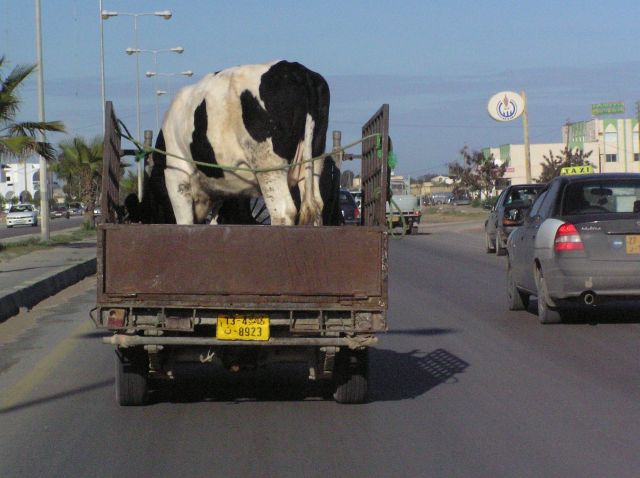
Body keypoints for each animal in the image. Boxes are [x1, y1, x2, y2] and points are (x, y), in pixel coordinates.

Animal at [145, 60, 336, 227]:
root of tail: (296, 69)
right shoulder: (223, 191)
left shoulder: (177, 177)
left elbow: (185, 221)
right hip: (313, 161)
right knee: (316, 206)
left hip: (269, 166)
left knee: (283, 211)